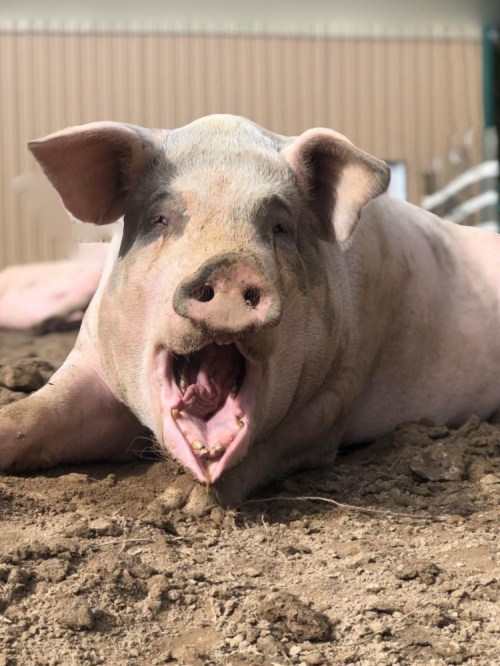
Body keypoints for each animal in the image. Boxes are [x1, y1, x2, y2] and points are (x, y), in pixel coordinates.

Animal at [1, 114, 500, 506]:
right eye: (161, 219)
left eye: (279, 226)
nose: (230, 265)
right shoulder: (90, 358)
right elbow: (37, 411)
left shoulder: (340, 391)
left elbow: (276, 443)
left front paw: (182, 501)